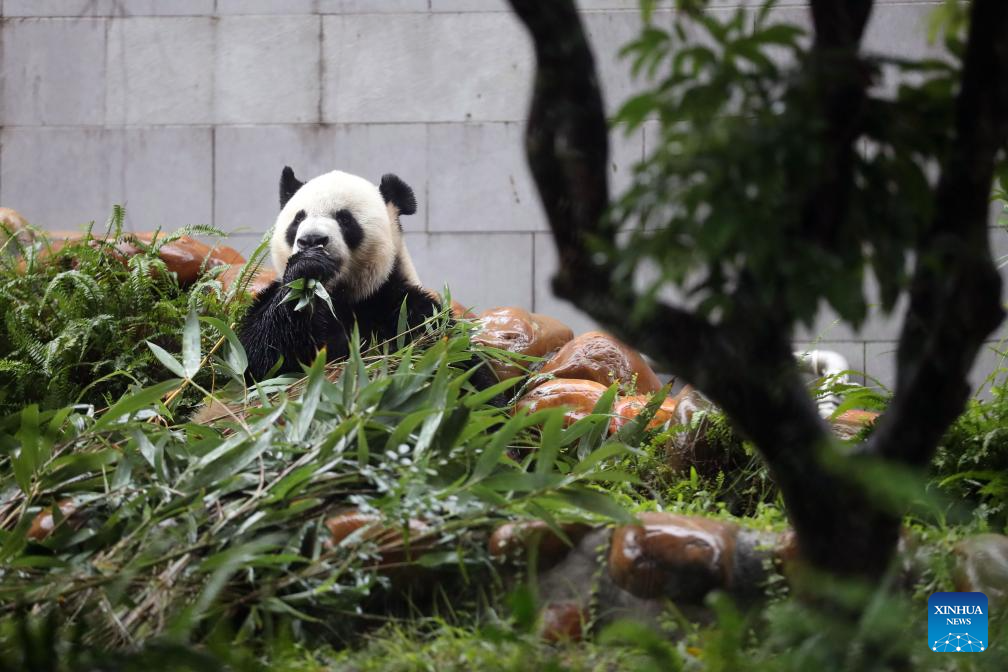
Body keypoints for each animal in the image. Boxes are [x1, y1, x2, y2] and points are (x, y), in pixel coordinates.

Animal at [240, 165, 499, 390]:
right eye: (297, 219)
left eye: (345, 219)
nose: (312, 240)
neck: (340, 296)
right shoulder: (271, 301)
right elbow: (258, 358)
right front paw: (307, 267)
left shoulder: (404, 307)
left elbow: (454, 361)